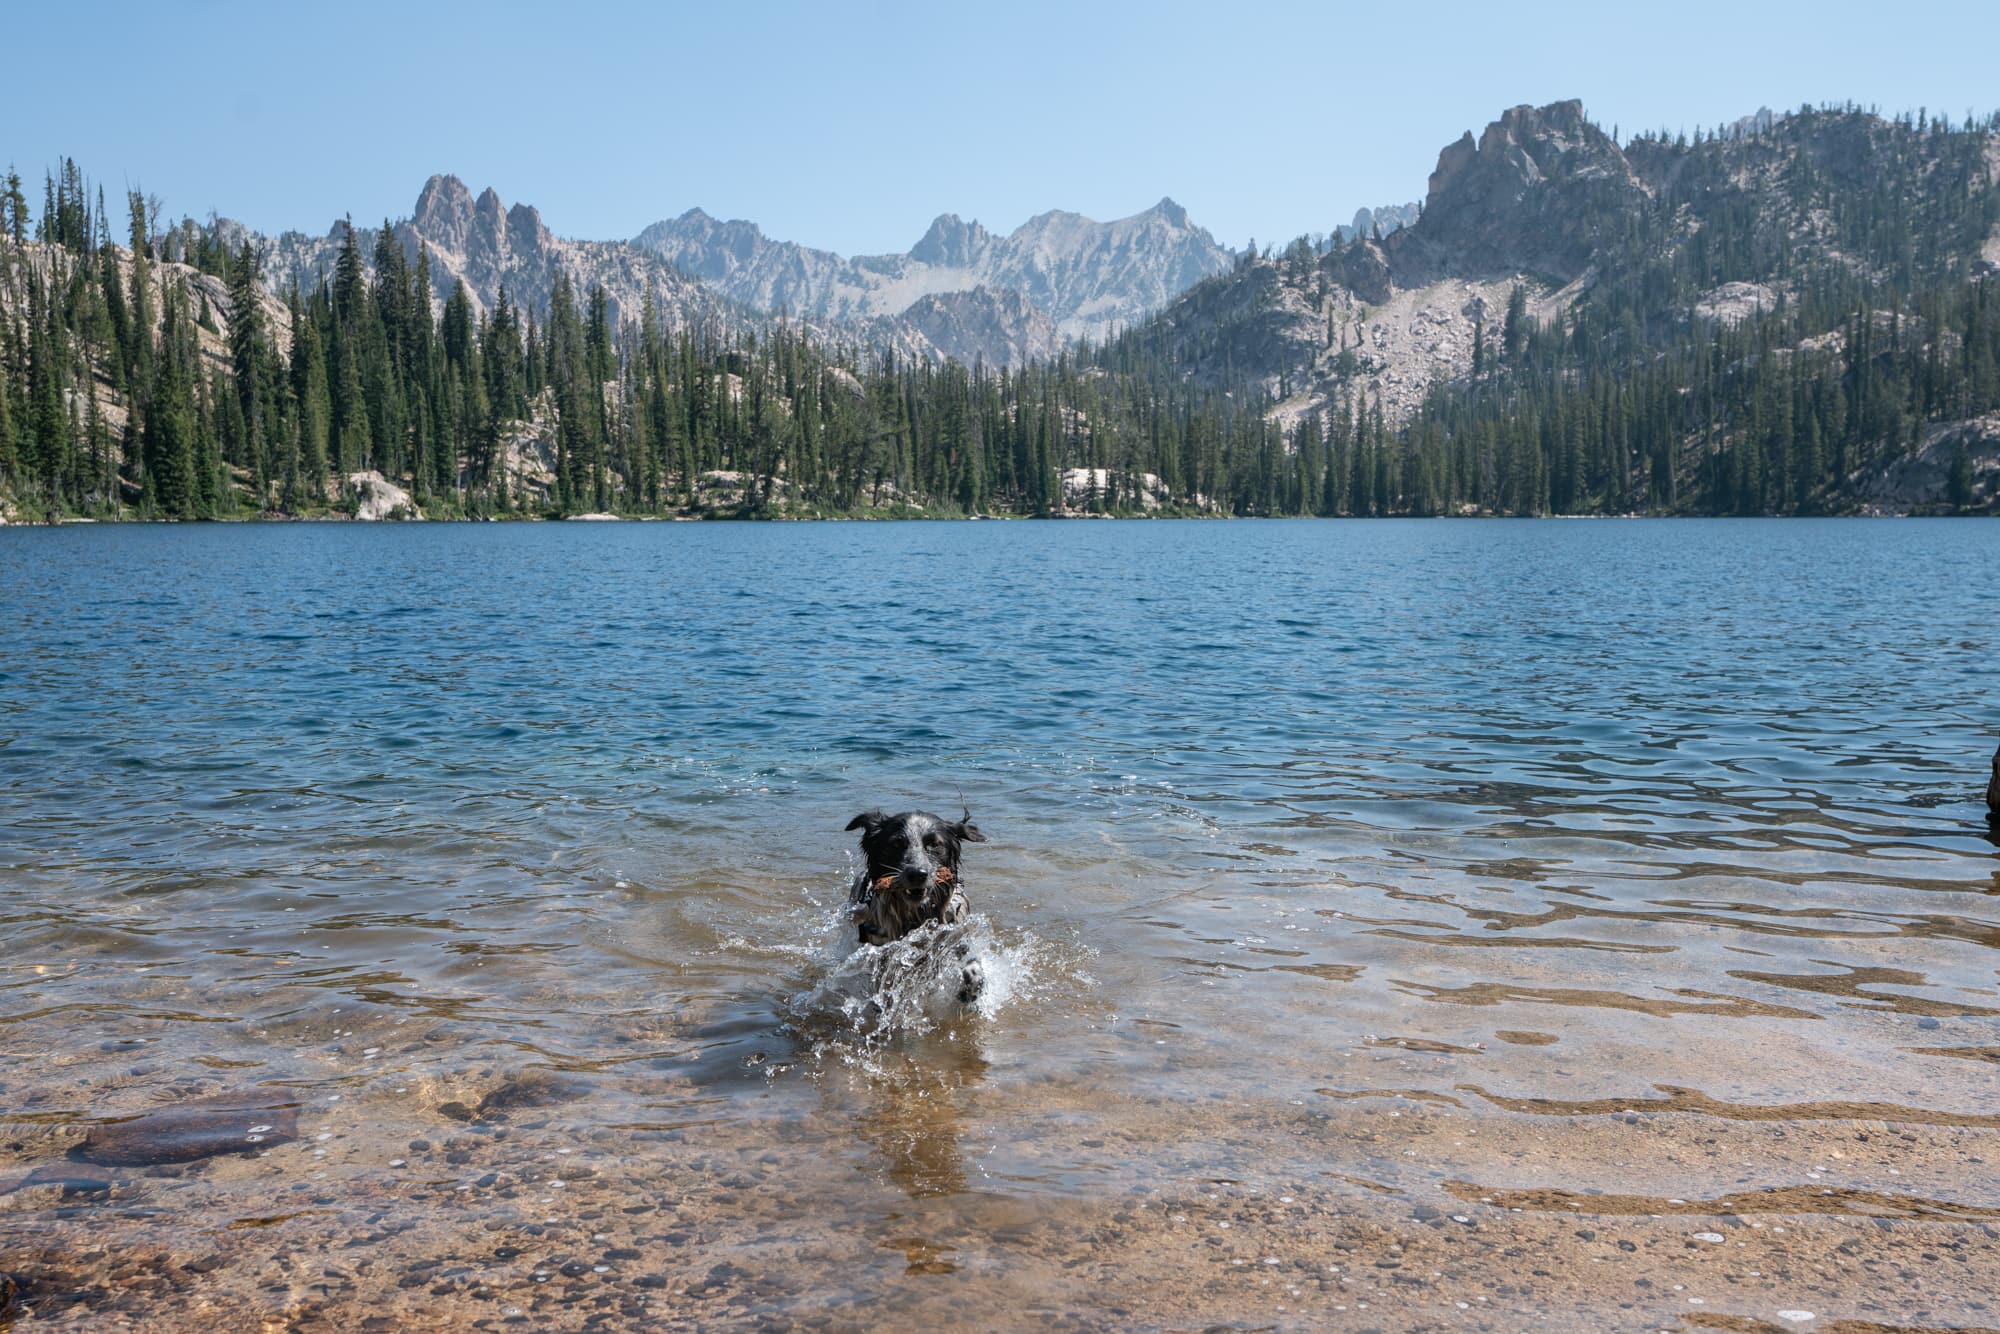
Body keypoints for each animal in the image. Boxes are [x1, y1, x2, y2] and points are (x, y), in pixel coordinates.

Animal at [848, 808, 988, 1008]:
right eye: (896, 843)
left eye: (935, 844)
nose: (917, 874)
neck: (917, 916)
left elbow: (970, 962)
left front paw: (971, 987)